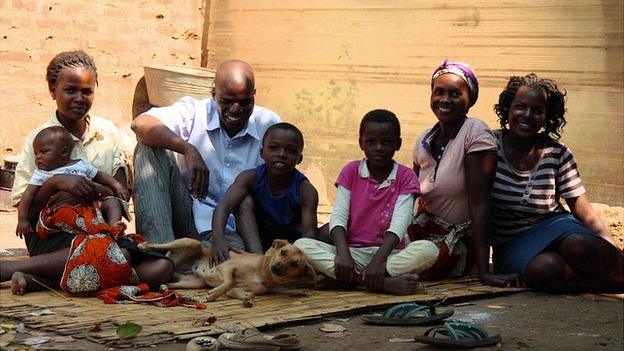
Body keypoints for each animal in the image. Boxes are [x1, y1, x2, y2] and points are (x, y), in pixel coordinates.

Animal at [141, 236, 316, 308]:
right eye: (283, 252)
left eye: (295, 264)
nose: (276, 267)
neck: (262, 271)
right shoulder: (227, 267)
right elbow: (229, 280)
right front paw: (213, 294)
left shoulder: (235, 290)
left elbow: (245, 292)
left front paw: (248, 299)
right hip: (191, 243)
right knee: (159, 245)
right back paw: (143, 245)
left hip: (193, 282)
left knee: (168, 283)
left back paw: (164, 287)